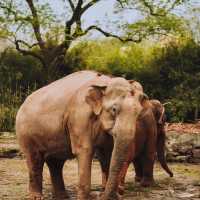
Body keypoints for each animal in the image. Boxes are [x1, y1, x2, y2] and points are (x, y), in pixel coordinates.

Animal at [15, 70, 145, 200]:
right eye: (114, 109)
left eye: (138, 113)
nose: (99, 194)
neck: (105, 82)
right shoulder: (79, 116)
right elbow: (85, 150)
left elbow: (108, 152)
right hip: (25, 132)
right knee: (35, 159)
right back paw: (36, 197)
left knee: (55, 162)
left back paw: (62, 197)